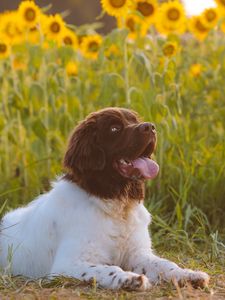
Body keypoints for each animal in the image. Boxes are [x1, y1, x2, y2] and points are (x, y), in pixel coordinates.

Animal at [0, 108, 209, 290]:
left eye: (135, 120)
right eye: (114, 129)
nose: (150, 127)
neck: (115, 203)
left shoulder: (138, 254)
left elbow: (165, 264)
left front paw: (188, 275)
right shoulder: (68, 264)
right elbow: (108, 269)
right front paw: (129, 279)